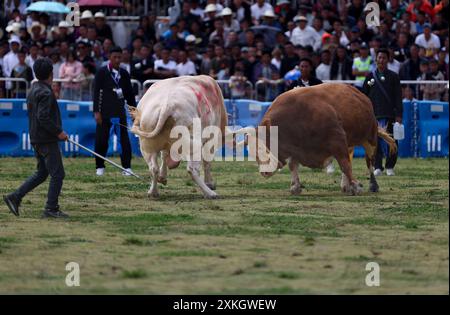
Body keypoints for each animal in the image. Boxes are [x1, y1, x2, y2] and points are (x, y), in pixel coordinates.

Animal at [250, 82, 398, 195]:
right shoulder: (295, 148)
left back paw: (372, 185)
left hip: (370, 139)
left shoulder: (337, 140)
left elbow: (345, 165)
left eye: (262, 148)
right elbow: (293, 165)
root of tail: (361, 95)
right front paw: (295, 186)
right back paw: (346, 185)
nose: (264, 172)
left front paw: (356, 186)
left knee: (369, 162)